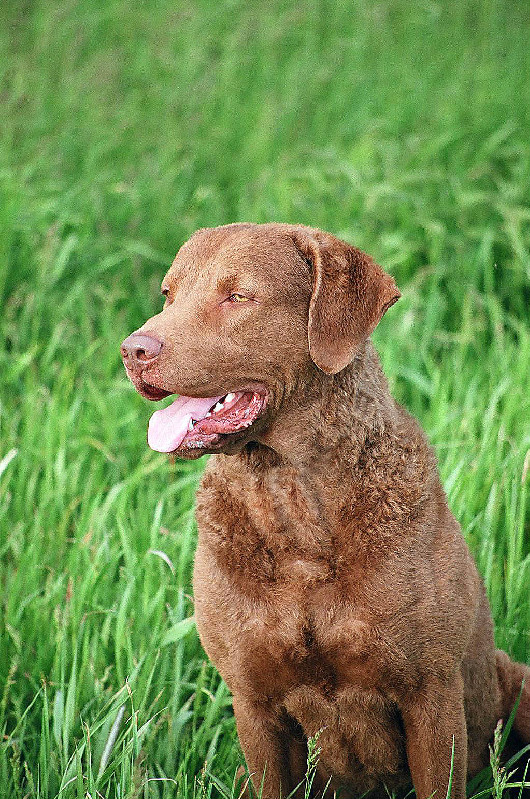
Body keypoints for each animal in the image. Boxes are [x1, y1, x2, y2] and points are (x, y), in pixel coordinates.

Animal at [120, 222, 528, 796]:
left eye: (238, 296)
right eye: (168, 294)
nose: (132, 349)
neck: (295, 510)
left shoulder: (432, 691)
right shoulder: (253, 702)